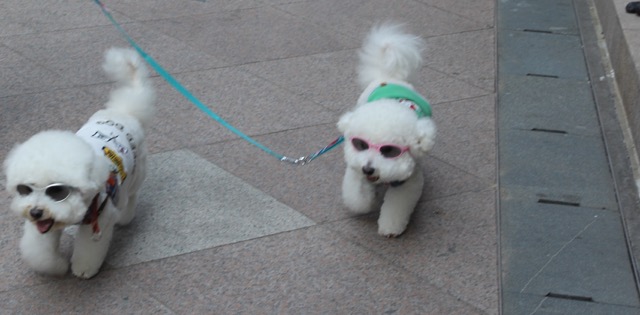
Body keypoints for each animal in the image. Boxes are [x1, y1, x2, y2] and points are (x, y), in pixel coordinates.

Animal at [3, 47, 155, 278]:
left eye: (57, 191)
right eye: (25, 189)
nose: (35, 212)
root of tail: (124, 111)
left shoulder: (98, 219)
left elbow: (89, 250)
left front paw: (83, 269)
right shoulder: (44, 227)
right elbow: (41, 253)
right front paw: (56, 266)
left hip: (136, 173)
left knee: (131, 194)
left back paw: (125, 216)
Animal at [338, 24, 438, 237]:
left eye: (389, 150)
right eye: (361, 144)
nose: (368, 168)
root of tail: (390, 76)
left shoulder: (408, 182)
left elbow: (397, 206)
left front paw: (390, 227)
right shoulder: (356, 167)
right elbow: (357, 196)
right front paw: (364, 203)